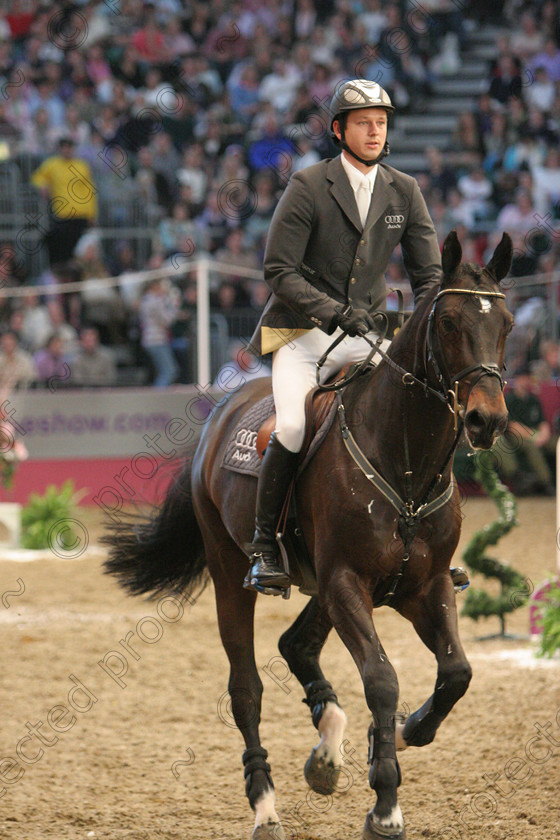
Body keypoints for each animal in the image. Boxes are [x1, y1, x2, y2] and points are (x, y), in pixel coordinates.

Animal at [103, 231, 516, 840]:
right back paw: (265, 806)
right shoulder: (347, 583)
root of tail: (220, 413)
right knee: (246, 689)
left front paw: (400, 735)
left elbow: (456, 673)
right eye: (447, 323)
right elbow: (381, 679)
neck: (407, 462)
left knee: (295, 645)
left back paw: (327, 753)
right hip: (234, 569)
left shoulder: (426, 585)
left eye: (506, 323)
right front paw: (385, 806)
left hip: (320, 585)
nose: (488, 421)